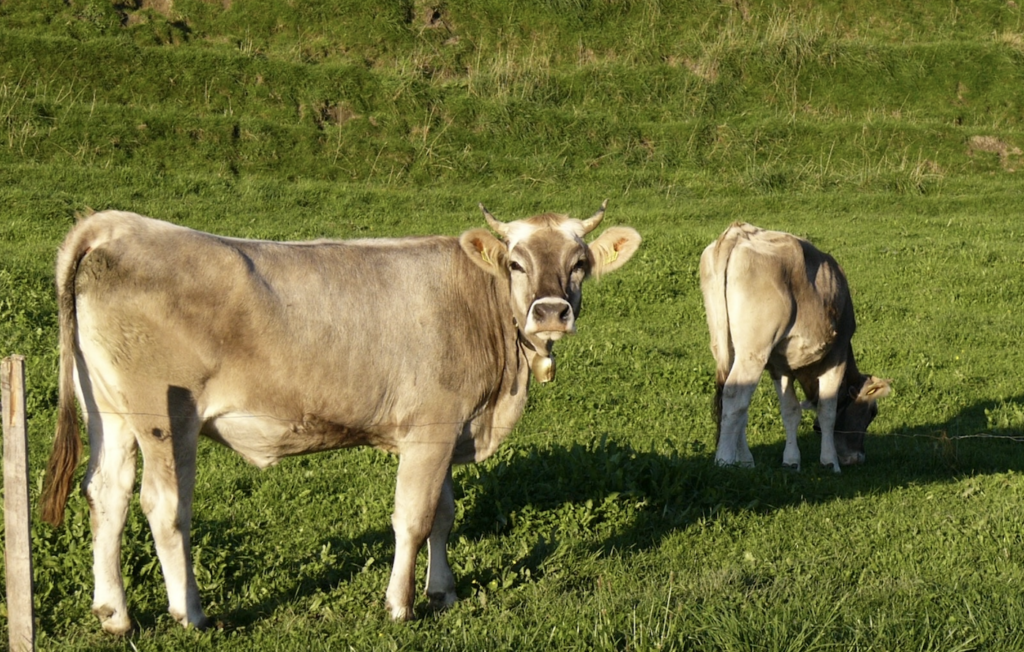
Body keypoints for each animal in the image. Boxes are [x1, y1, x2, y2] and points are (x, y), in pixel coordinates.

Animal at [44, 203, 643, 630]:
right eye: (516, 263)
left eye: (579, 264)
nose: (551, 312)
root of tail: (117, 225)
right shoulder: (430, 428)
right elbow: (414, 517)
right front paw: (400, 605)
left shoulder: (451, 427)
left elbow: (444, 514)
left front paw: (443, 591)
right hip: (166, 416)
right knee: (164, 506)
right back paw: (189, 614)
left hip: (109, 411)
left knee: (108, 494)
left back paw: (114, 615)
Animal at [696, 221, 888, 470]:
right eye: (872, 413)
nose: (857, 458)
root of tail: (738, 232)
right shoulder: (837, 356)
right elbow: (827, 411)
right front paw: (830, 462)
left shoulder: (780, 366)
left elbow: (790, 411)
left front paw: (791, 460)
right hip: (753, 351)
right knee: (734, 395)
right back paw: (725, 460)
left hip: (724, 345)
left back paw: (745, 459)